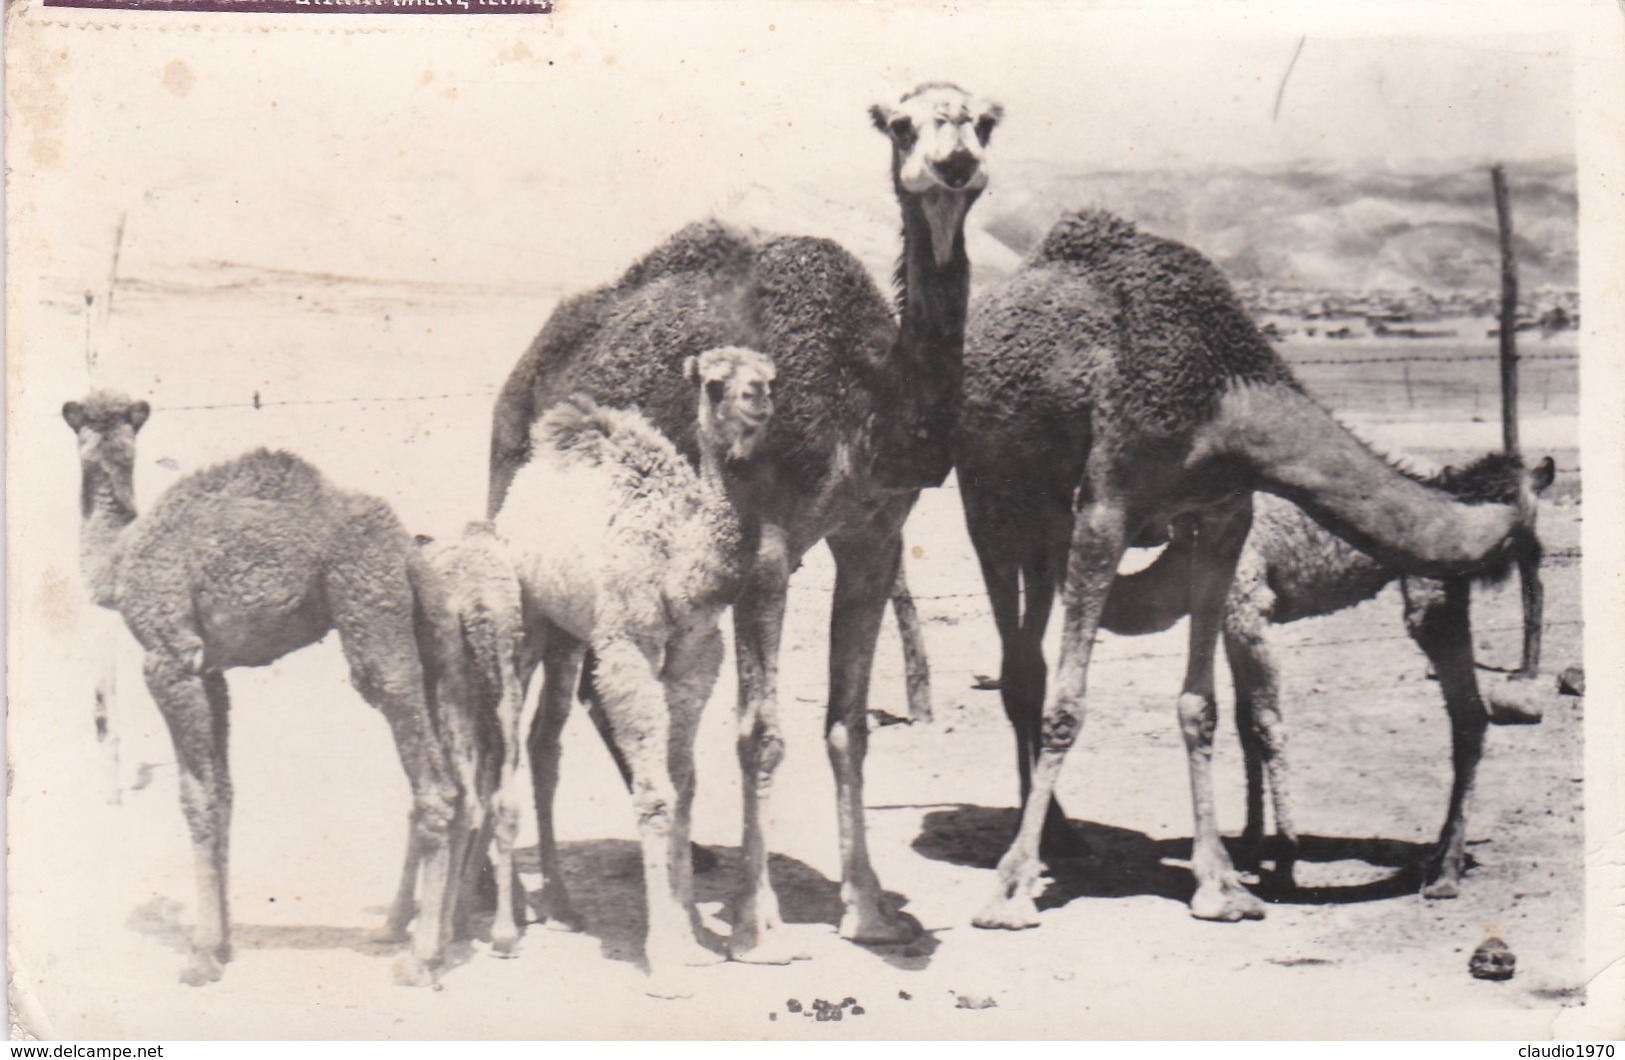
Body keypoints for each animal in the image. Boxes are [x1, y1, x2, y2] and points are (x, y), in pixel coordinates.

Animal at [61, 393, 458, 988]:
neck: (120, 558)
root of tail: (409, 552)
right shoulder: (210, 670)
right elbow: (224, 792)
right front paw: (223, 943)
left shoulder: (170, 659)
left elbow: (196, 797)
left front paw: (201, 956)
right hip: (425, 638)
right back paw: (412, 936)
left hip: (371, 611)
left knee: (431, 780)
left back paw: (419, 959)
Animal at [481, 84, 1001, 962]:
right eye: (902, 124)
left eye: (984, 120)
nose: (954, 162)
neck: (866, 402)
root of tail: (528, 362)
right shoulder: (766, 548)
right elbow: (760, 732)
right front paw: (761, 927)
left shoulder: (872, 538)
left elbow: (847, 726)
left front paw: (869, 911)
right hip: (513, 488)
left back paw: (681, 861)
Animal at [1098, 451, 1553, 897]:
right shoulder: (1231, 617)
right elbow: (1245, 725)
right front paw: (1249, 846)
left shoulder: (1248, 604)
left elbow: (1268, 726)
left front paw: (1284, 863)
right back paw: (1436, 857)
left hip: (1433, 591)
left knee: (1470, 714)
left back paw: (1446, 872)